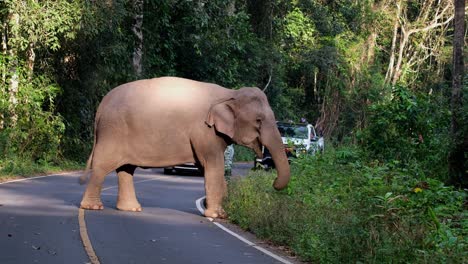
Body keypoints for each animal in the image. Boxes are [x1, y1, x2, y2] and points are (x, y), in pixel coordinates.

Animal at [79, 76, 290, 219]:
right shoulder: (204, 131)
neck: (230, 93)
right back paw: (93, 207)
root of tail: (101, 106)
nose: (273, 182)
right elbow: (213, 166)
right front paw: (215, 215)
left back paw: (132, 209)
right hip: (113, 131)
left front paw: (221, 212)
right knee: (102, 166)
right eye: (258, 120)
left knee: (126, 169)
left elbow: (210, 169)